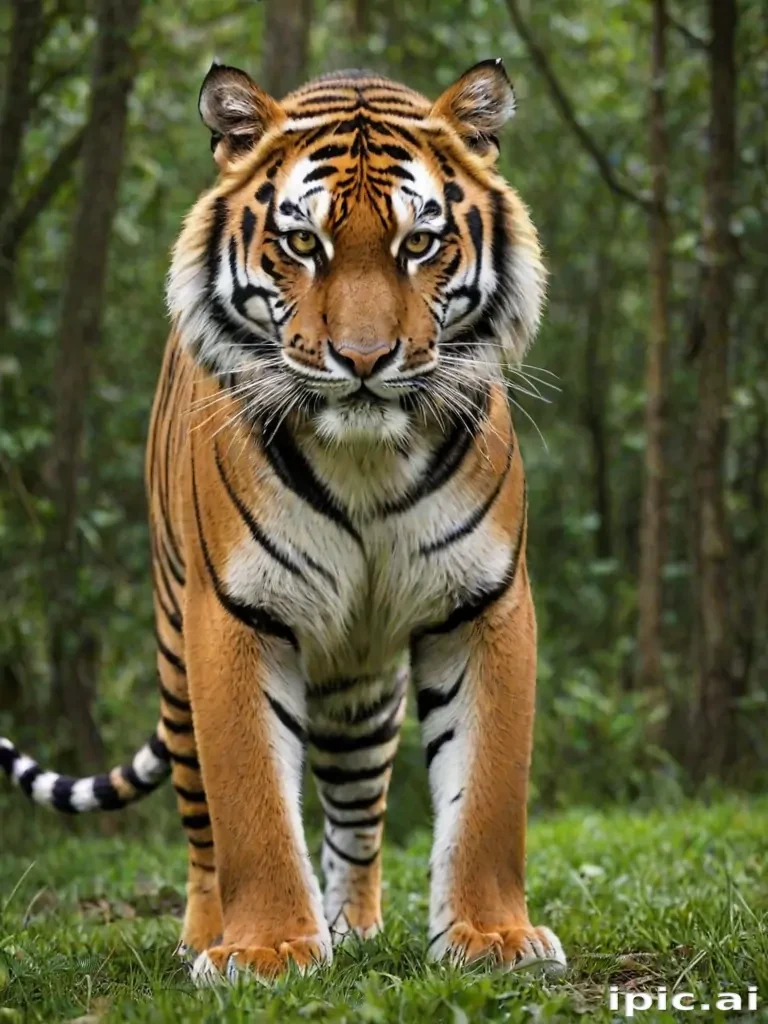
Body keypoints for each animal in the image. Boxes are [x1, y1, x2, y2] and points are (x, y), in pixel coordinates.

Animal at [1, 59, 565, 982]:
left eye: (419, 244)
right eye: (304, 245)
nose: (366, 361)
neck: (367, 460)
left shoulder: (484, 603)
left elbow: (486, 795)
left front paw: (492, 938)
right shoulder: (234, 615)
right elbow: (250, 803)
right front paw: (265, 949)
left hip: (363, 691)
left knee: (357, 811)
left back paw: (356, 925)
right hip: (175, 655)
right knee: (202, 825)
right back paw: (205, 933)